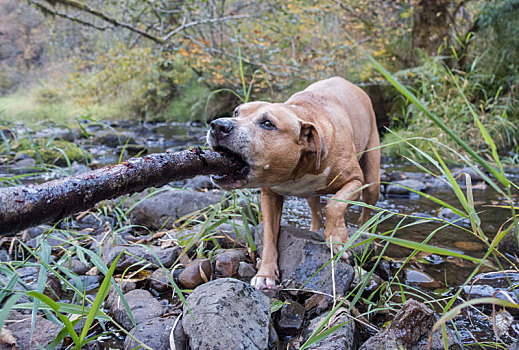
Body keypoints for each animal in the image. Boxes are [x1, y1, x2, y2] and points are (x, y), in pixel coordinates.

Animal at [207, 77, 382, 290]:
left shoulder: (355, 180)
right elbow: (269, 236)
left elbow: (335, 204)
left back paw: (366, 235)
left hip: (372, 179)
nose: (218, 125)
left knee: (365, 212)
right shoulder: (270, 196)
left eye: (268, 123)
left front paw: (337, 238)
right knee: (316, 210)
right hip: (310, 194)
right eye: (236, 113)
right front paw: (265, 273)